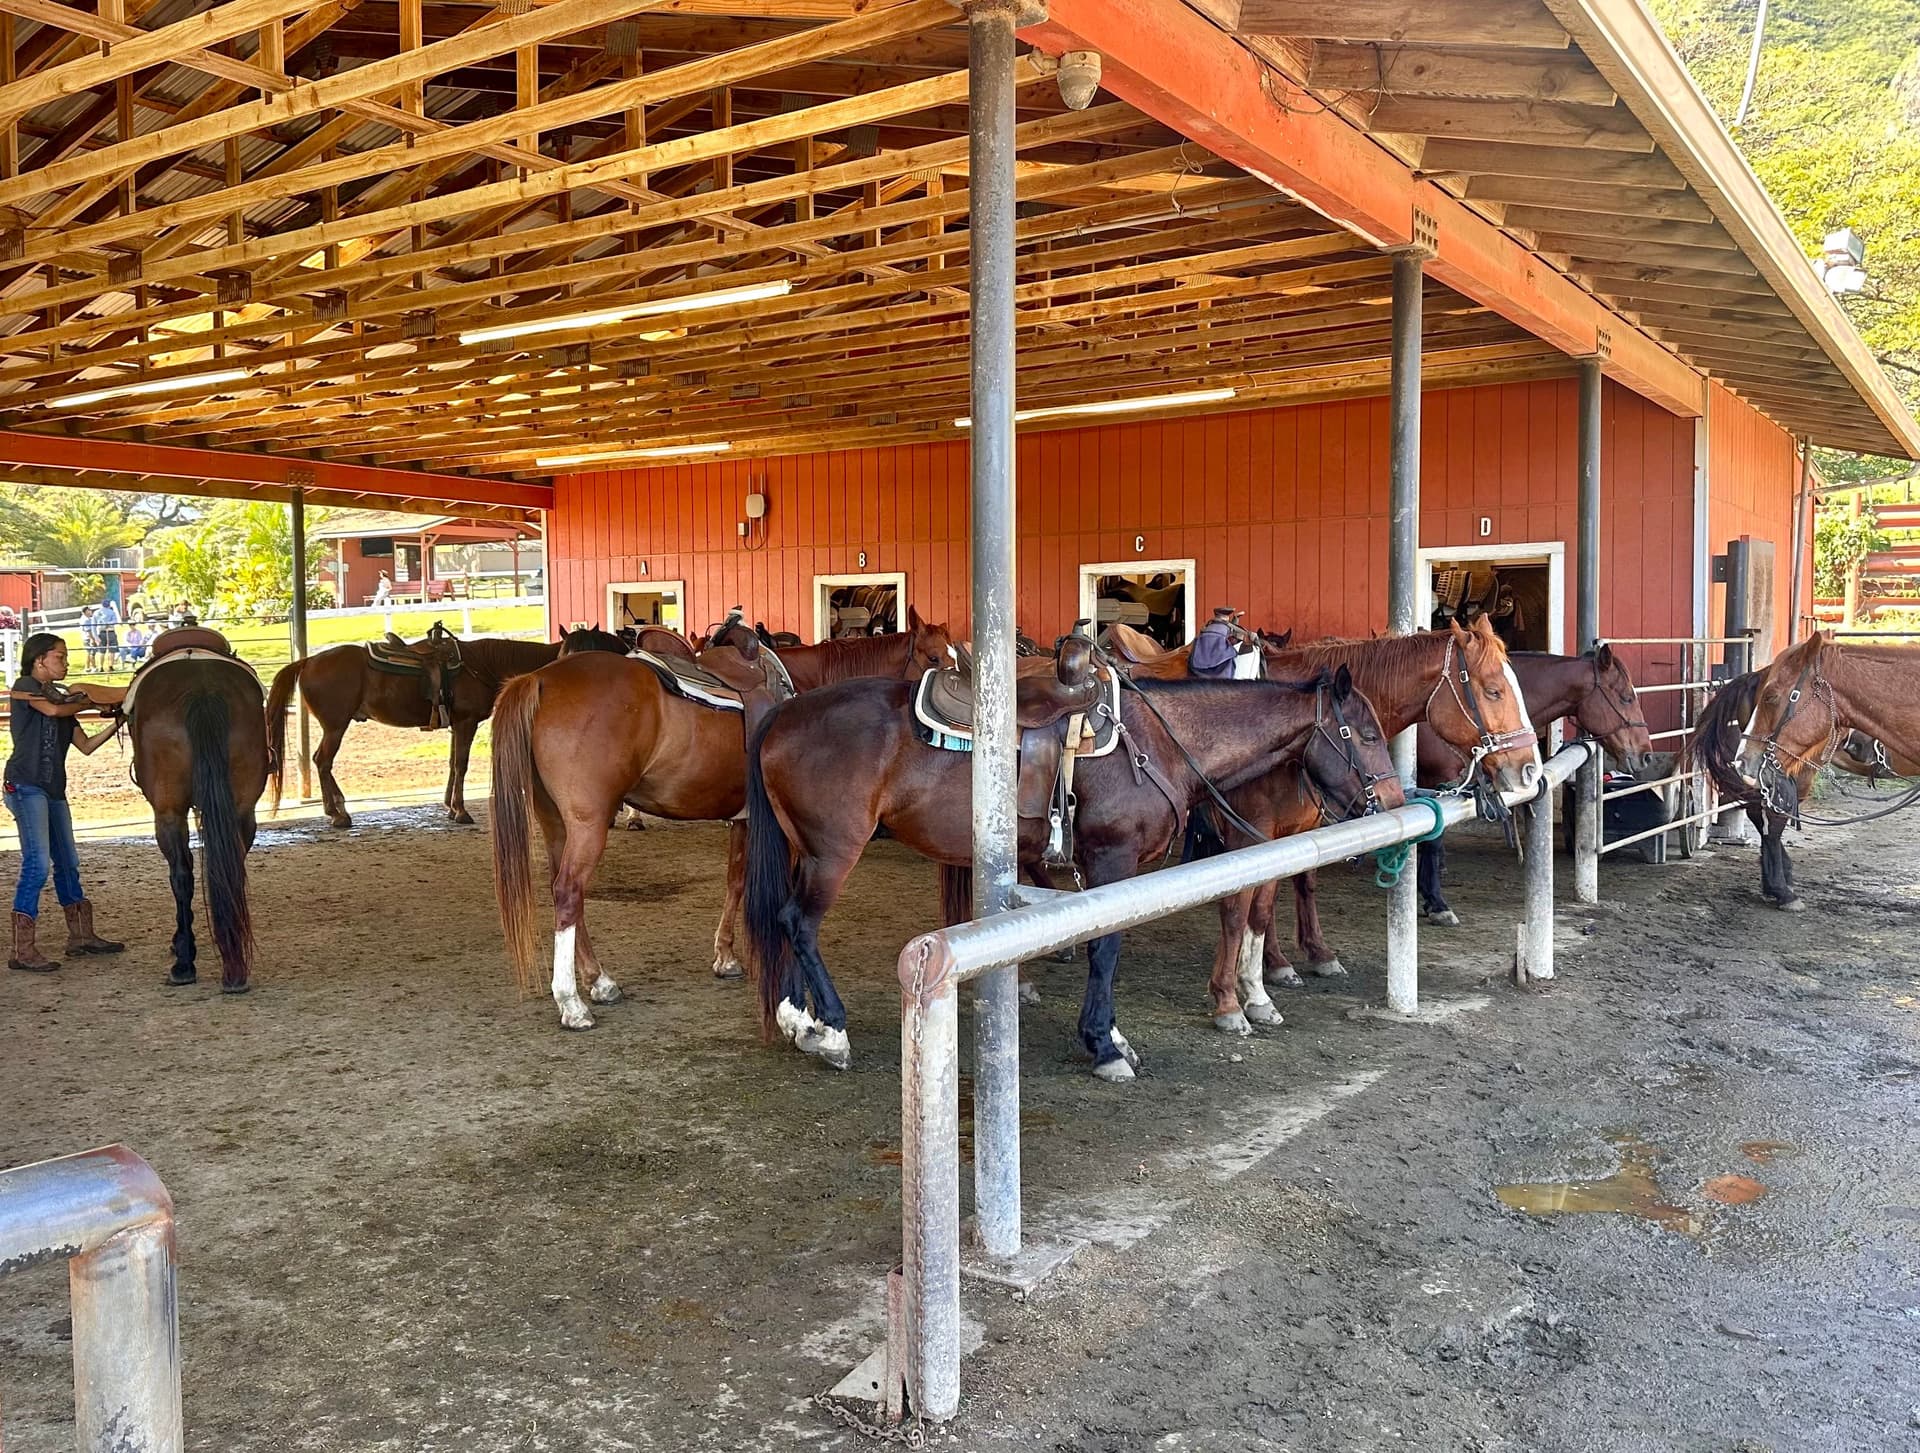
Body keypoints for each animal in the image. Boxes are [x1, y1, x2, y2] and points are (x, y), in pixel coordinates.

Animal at [125, 642, 271, 992]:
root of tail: (202, 690)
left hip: (168, 813)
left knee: (181, 875)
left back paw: (184, 963)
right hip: (242, 810)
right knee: (231, 869)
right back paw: (233, 965)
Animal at [490, 612, 955, 1029]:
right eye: (935, 657)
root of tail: (541, 680)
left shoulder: (744, 820)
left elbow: (735, 880)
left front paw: (726, 956)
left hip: (557, 823)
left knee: (566, 893)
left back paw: (599, 981)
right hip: (588, 823)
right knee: (569, 892)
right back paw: (571, 1003)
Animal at [743, 664, 1403, 1079]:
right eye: (1368, 733)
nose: (1397, 803)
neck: (1158, 742)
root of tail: (784, 713)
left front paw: (1113, 1036)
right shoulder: (1111, 860)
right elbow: (1104, 948)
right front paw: (1104, 1046)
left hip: (804, 851)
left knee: (784, 924)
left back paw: (797, 1018)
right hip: (832, 853)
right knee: (800, 923)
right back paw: (832, 1030)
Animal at [1193, 618, 1543, 1028]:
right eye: (1493, 691)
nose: (1530, 769)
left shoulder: (1289, 834)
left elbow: (1270, 904)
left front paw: (1274, 974)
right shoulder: (1247, 837)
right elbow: (1236, 911)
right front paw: (1229, 998)